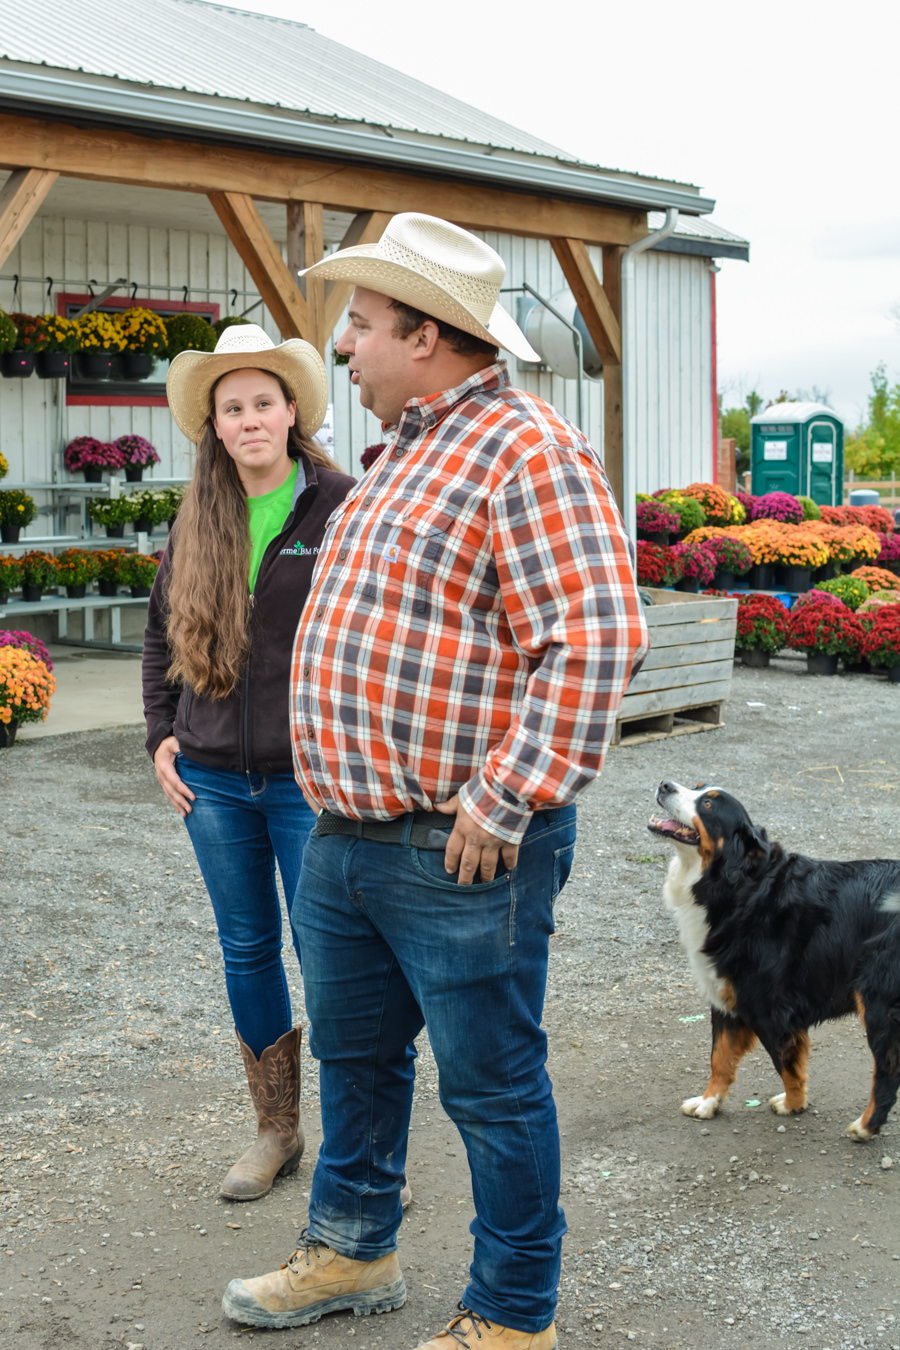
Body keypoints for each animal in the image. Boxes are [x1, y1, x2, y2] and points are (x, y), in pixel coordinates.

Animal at [647, 783, 900, 1139]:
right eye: (696, 787)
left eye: (708, 804)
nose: (665, 784)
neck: (738, 887)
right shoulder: (725, 997)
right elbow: (719, 1058)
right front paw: (708, 1102)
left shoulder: (767, 1007)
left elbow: (787, 1065)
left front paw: (793, 1104)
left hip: (877, 1001)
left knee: (887, 1073)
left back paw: (866, 1126)